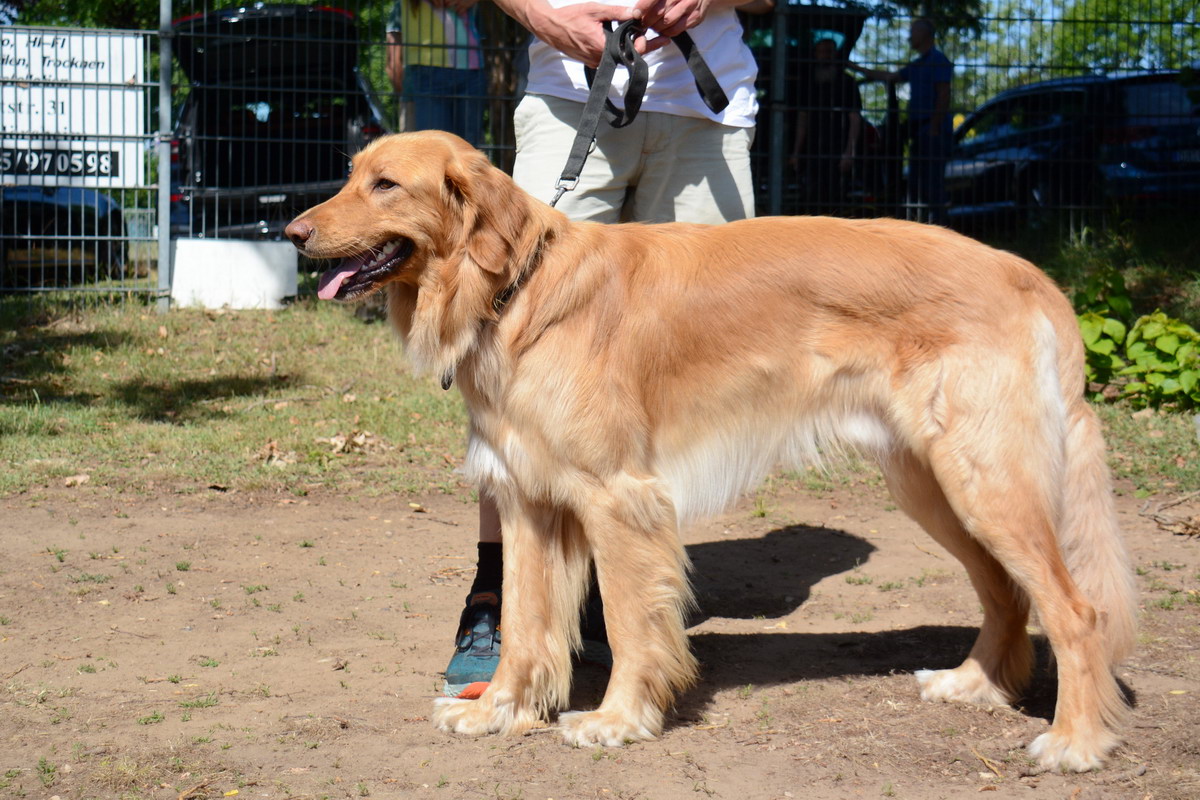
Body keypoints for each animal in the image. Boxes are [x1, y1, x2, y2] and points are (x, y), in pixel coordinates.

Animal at [285, 130, 1137, 767]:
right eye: (350, 176)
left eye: (385, 185)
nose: (292, 236)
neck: (516, 290)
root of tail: (1026, 273)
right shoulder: (527, 499)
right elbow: (525, 625)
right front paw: (499, 710)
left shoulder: (618, 498)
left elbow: (629, 621)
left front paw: (616, 720)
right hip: (934, 484)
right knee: (1008, 594)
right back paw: (975, 687)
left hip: (982, 480)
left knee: (1075, 609)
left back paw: (1074, 741)